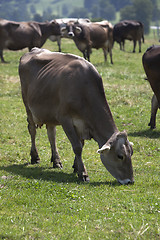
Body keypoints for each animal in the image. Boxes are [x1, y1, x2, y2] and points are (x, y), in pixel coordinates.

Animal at [18, 47, 134, 184]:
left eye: (131, 153)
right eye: (120, 156)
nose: (130, 181)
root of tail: (33, 50)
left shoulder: (82, 124)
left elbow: (81, 144)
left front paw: (76, 166)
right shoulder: (65, 119)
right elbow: (77, 147)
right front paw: (83, 173)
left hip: (50, 114)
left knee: (52, 135)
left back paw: (56, 161)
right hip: (28, 106)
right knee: (32, 130)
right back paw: (35, 157)